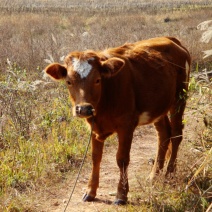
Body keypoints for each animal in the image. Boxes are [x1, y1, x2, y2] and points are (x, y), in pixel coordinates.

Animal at [44, 37, 190, 205]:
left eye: (97, 80)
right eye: (68, 82)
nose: (84, 109)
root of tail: (171, 39)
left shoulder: (126, 126)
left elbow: (122, 159)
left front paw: (121, 194)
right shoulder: (94, 128)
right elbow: (95, 158)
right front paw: (90, 191)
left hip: (179, 99)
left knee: (177, 134)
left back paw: (169, 174)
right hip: (159, 108)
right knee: (164, 134)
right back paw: (154, 176)